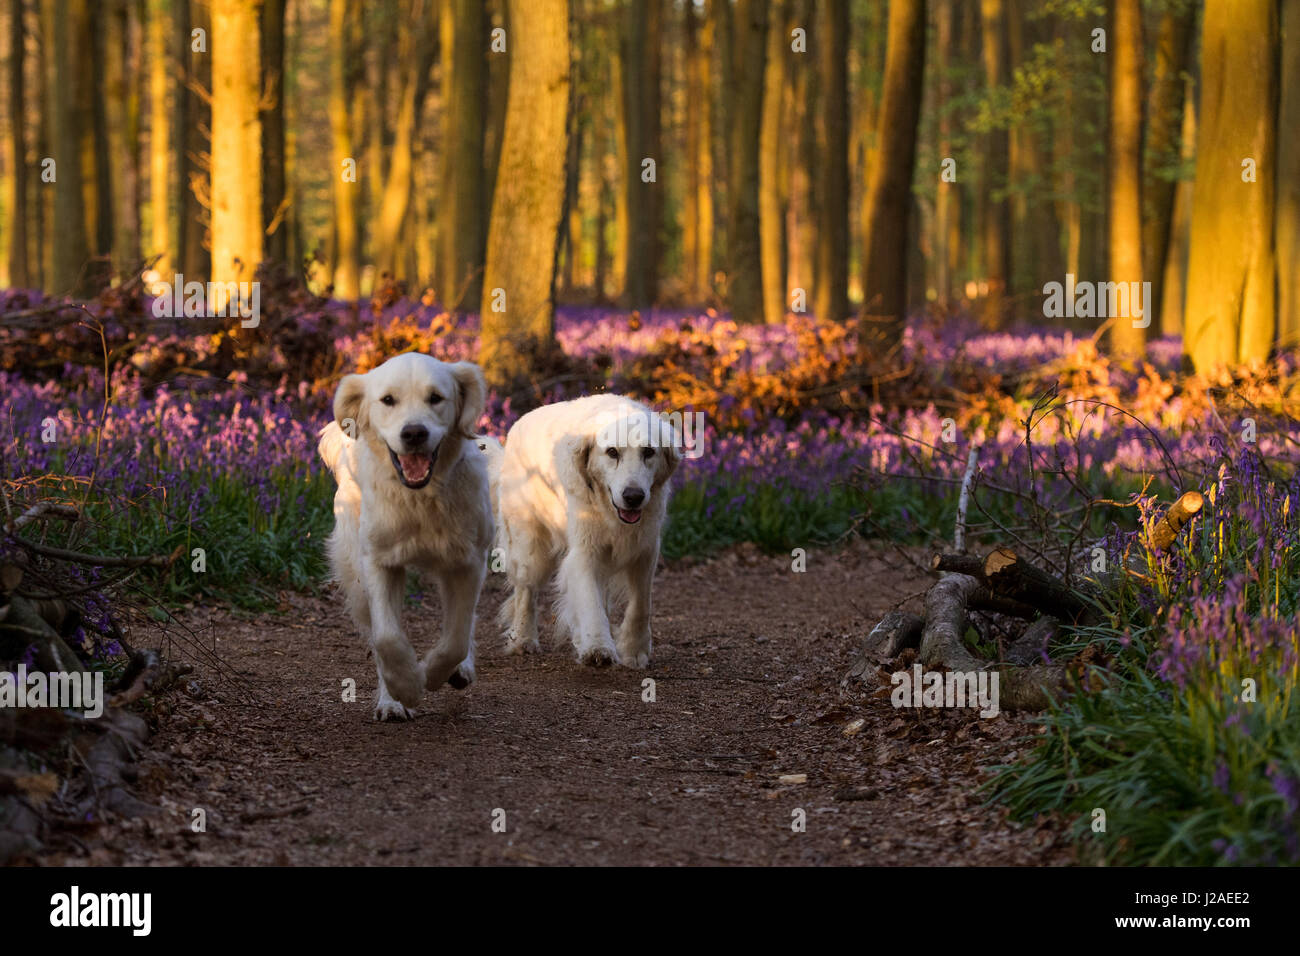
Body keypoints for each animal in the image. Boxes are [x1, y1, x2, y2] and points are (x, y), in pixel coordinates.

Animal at [318, 356, 491, 723]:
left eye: (436, 398)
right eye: (388, 400)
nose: (413, 433)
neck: (420, 499)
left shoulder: (468, 562)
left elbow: (456, 637)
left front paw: (436, 673)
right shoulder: (378, 561)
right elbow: (387, 637)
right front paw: (406, 687)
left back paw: (460, 670)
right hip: (355, 573)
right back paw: (392, 700)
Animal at [488, 392, 681, 671]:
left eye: (648, 452)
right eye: (612, 452)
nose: (633, 497)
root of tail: (516, 426)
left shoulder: (645, 549)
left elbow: (640, 604)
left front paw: (634, 650)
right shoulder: (584, 552)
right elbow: (589, 600)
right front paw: (597, 647)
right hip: (530, 550)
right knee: (526, 591)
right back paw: (523, 639)